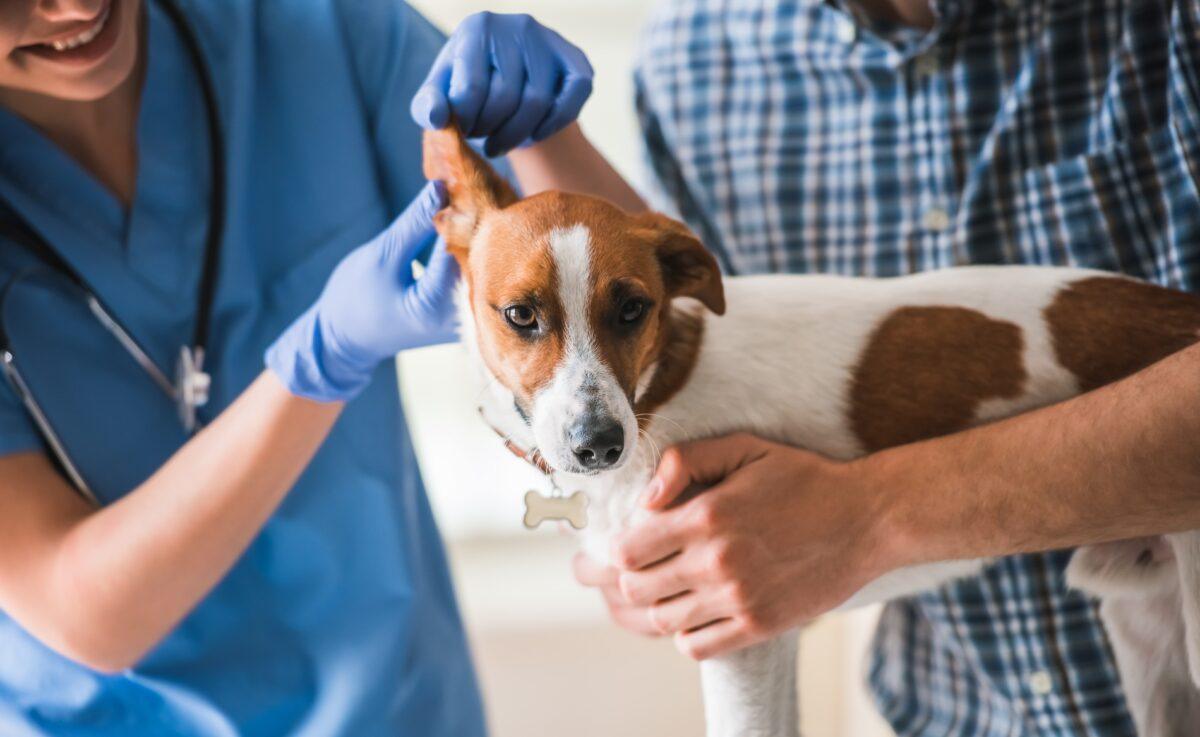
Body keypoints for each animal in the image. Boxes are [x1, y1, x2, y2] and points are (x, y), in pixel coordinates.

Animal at [423, 125, 1200, 737]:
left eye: (633, 309)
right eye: (521, 314)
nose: (600, 445)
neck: (657, 390)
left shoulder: (733, 638)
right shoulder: (775, 635)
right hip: (1148, 633)